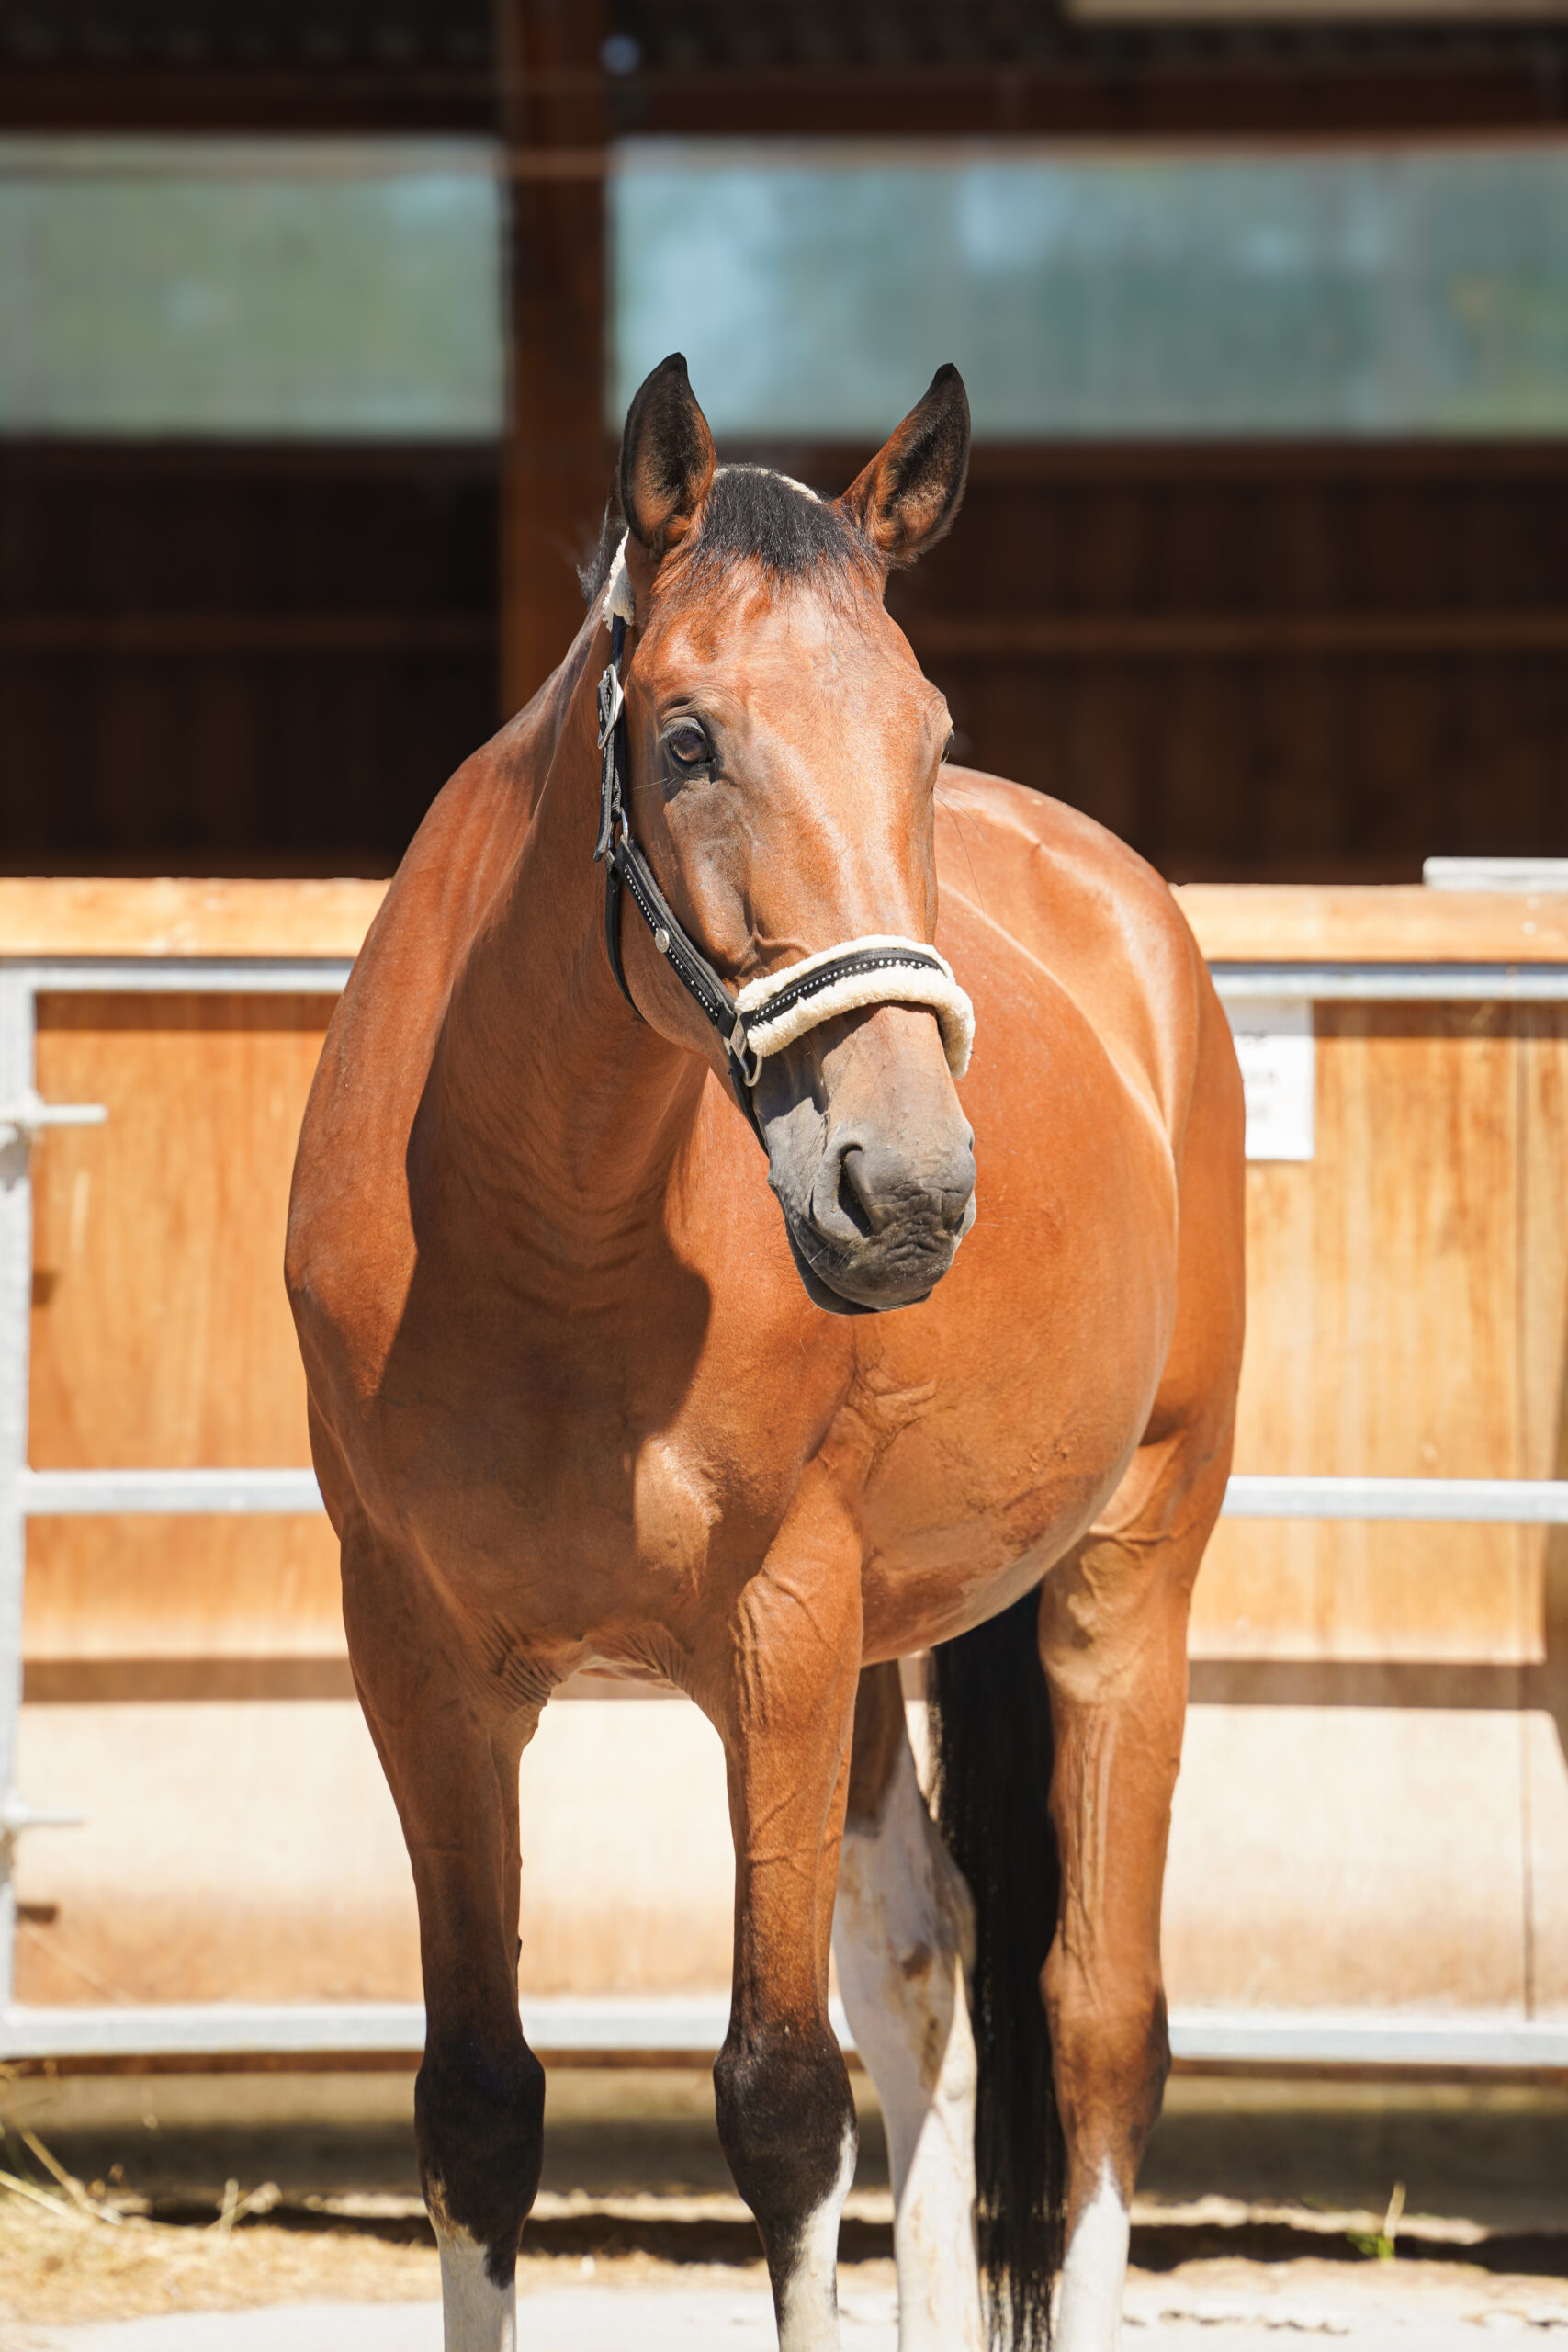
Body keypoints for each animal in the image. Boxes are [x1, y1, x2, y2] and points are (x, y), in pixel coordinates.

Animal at [286, 354, 1245, 2352]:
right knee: (928, 1968)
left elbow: (783, 2101)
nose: (910, 1189)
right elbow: (478, 2103)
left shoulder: (776, 1635)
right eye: (685, 740)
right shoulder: (420, 1662)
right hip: (886, 1645)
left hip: (1125, 1580)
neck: (545, 1242)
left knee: (1094, 2026)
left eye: (929, 735)